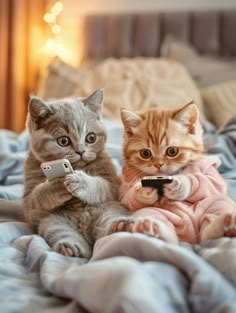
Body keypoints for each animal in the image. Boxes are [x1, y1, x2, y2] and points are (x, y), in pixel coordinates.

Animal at [22, 87, 129, 256]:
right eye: (63, 141)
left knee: (110, 220)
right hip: (52, 221)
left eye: (91, 138)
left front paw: (80, 181)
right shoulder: (29, 203)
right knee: (61, 232)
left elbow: (100, 185)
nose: (81, 151)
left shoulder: (113, 186)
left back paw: (121, 226)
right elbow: (36, 197)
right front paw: (56, 186)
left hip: (110, 208)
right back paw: (71, 248)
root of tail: (86, 228)